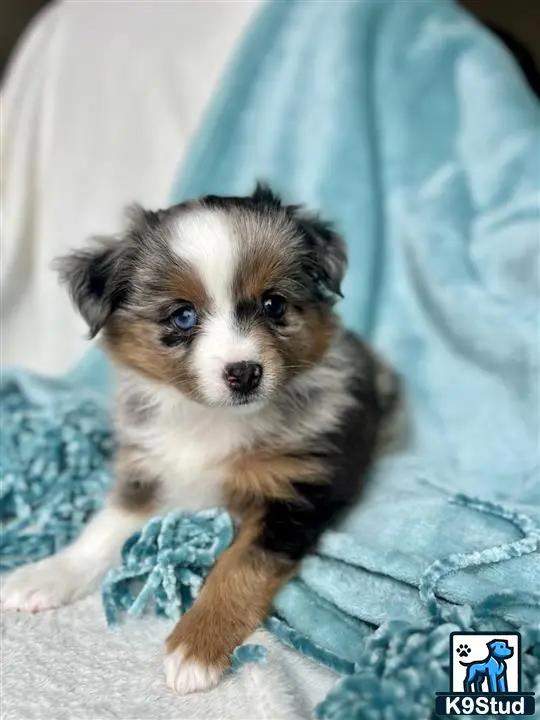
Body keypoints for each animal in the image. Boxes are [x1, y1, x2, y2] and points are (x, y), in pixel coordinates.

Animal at [1, 183, 400, 696]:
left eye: (273, 305)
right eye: (183, 316)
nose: (244, 373)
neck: (214, 421)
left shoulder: (296, 493)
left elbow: (239, 567)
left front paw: (196, 644)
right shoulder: (150, 467)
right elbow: (104, 527)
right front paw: (49, 573)